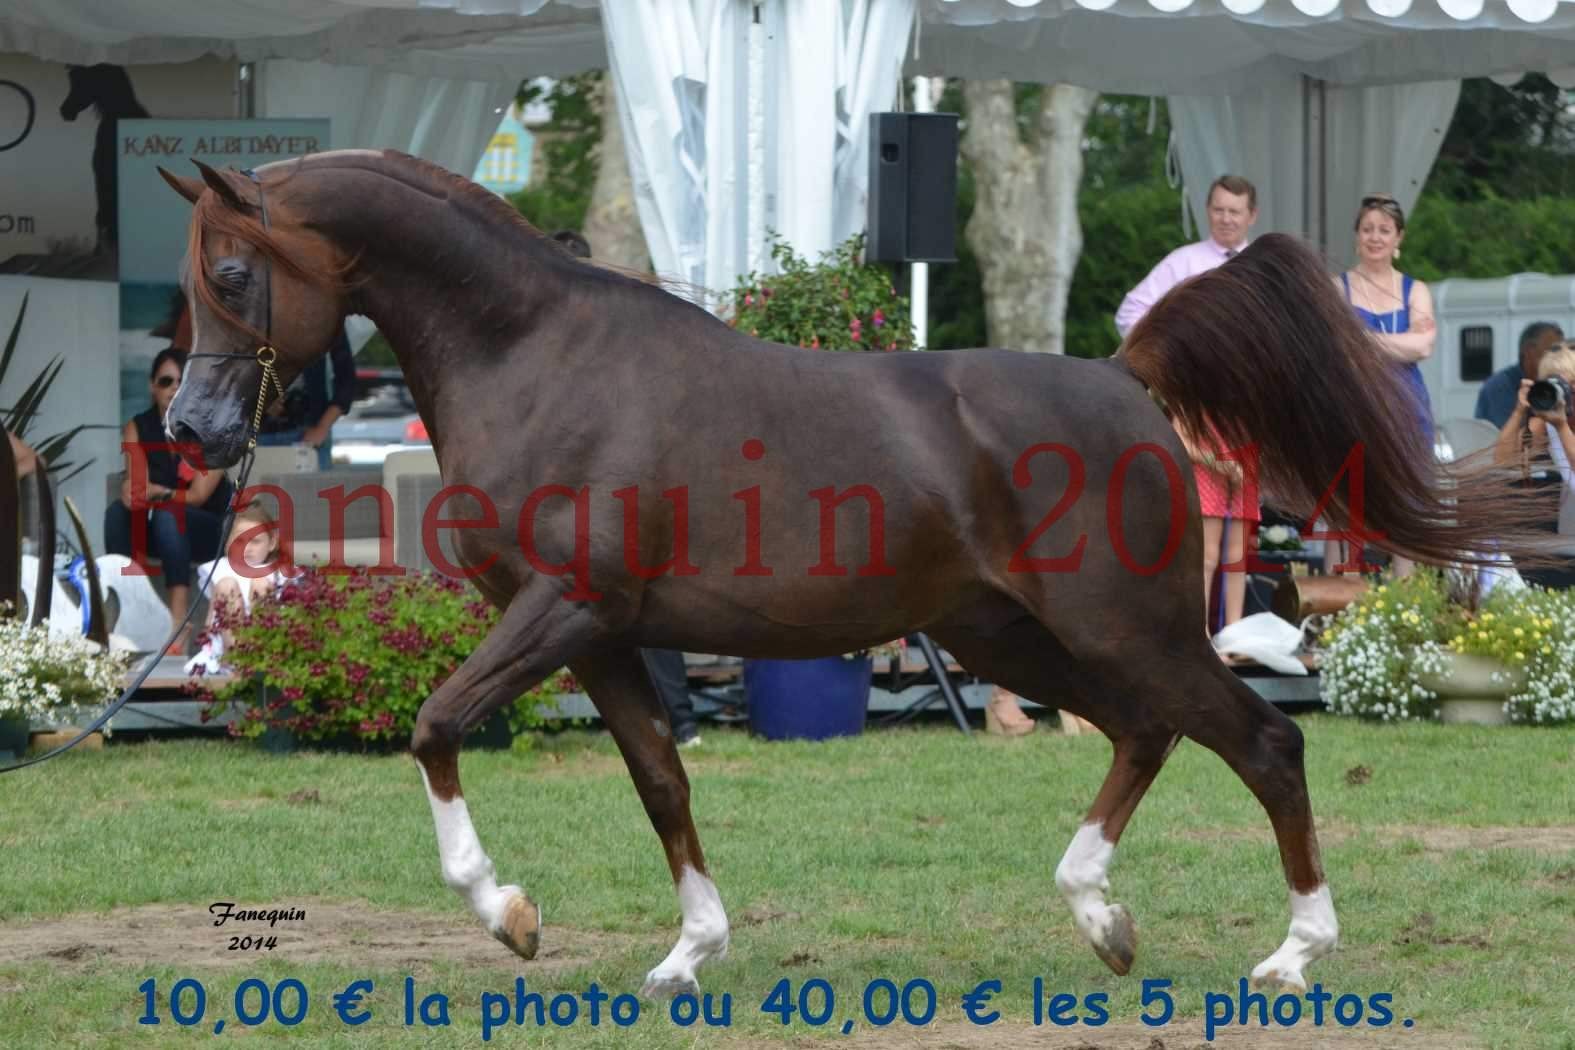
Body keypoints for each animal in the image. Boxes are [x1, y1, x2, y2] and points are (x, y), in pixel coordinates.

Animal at [153, 151, 1556, 1001]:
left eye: (231, 272)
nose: (196, 433)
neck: (538, 354)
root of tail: (1129, 378)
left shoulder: (563, 613)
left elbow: (436, 723)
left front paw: (509, 913)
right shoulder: (601, 637)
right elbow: (661, 783)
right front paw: (688, 954)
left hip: (1121, 627)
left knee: (1264, 741)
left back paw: (1293, 955)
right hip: (1009, 639)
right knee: (1147, 734)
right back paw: (1100, 919)